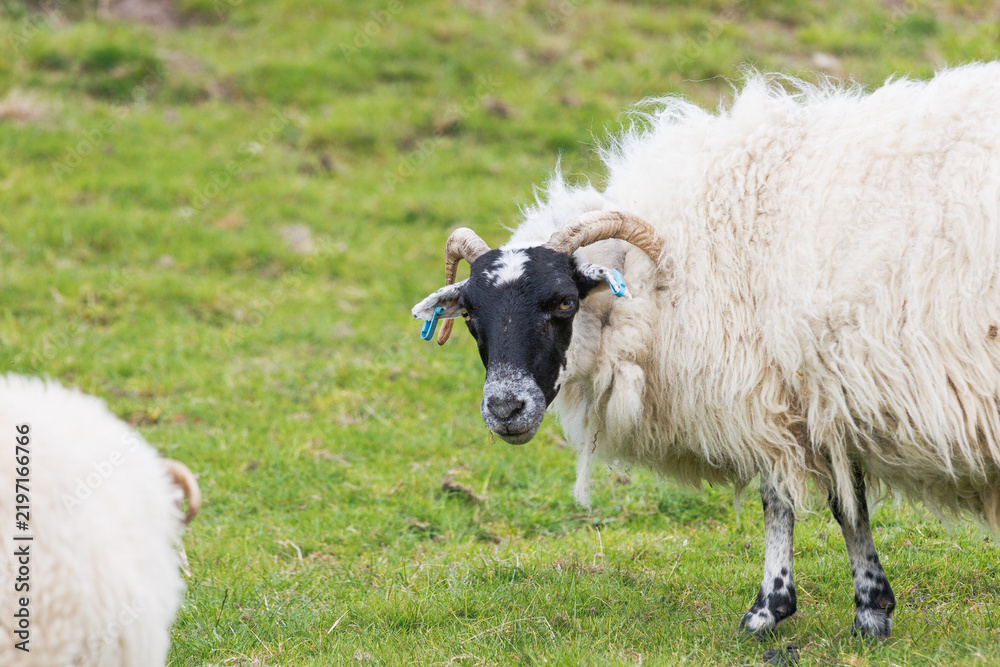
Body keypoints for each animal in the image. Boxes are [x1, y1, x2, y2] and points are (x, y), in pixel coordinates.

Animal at [412, 63, 1000, 639]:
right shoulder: (823, 396)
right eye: (469, 315)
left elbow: (787, 500)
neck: (655, 280)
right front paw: (870, 608)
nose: (504, 408)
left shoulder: (768, 390)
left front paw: (771, 610)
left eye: (563, 302)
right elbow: (846, 502)